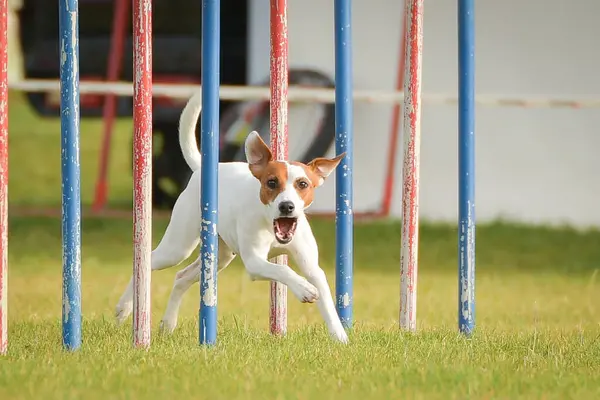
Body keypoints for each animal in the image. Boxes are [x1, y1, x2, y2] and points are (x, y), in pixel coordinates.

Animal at [115, 90, 350, 344]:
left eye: (303, 184)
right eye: (271, 183)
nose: (286, 206)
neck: (270, 226)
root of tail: (201, 169)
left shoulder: (311, 266)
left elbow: (326, 299)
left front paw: (340, 337)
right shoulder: (255, 262)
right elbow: (283, 271)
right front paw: (304, 289)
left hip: (220, 256)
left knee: (181, 277)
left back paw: (168, 323)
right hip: (178, 247)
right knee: (147, 261)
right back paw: (125, 308)